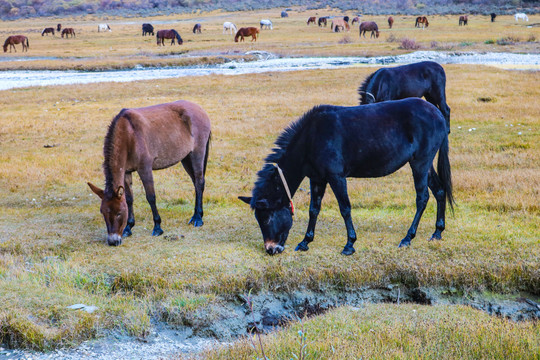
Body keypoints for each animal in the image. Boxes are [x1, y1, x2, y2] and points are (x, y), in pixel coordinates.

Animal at [87, 101, 211, 248]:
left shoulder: (144, 169)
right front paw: (129, 227)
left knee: (199, 182)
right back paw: (195, 216)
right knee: (195, 183)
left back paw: (198, 218)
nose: (113, 241)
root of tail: (200, 110)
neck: (129, 135)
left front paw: (157, 227)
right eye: (103, 212)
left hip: (197, 153)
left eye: (119, 213)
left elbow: (151, 197)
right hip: (186, 158)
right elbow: (129, 199)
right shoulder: (126, 172)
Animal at [238, 98, 454, 255]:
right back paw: (437, 232)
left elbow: (345, 208)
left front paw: (350, 244)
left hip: (420, 163)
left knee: (422, 198)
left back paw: (408, 238)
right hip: (424, 164)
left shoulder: (336, 177)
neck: (311, 139)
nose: (271, 249)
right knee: (439, 191)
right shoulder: (317, 179)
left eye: (266, 218)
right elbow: (314, 209)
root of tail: (438, 114)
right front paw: (305, 242)